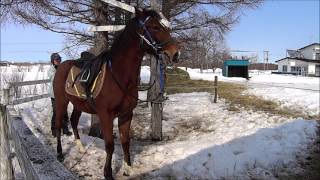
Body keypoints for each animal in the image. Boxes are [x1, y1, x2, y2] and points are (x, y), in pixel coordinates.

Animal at [52, 7, 180, 180]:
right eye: (155, 27)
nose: (176, 53)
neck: (118, 75)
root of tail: (61, 66)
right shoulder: (106, 115)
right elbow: (110, 145)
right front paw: (108, 173)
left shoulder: (126, 114)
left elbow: (125, 141)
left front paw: (128, 168)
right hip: (61, 101)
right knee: (59, 125)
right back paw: (59, 154)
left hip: (78, 104)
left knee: (73, 121)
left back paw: (80, 148)